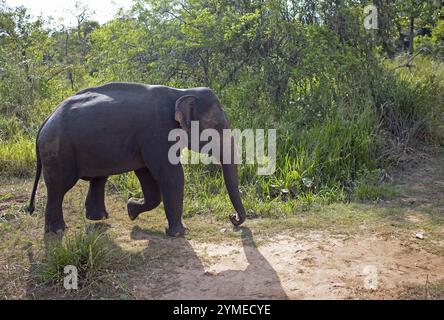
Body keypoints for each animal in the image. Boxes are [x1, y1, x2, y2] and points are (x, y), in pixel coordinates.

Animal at [27, 82, 246, 236]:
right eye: (218, 126)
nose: (232, 217)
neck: (181, 92)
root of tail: (46, 120)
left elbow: (146, 175)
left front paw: (131, 209)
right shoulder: (156, 134)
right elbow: (171, 175)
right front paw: (179, 233)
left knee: (98, 178)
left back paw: (98, 218)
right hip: (58, 150)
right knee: (58, 188)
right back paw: (58, 230)